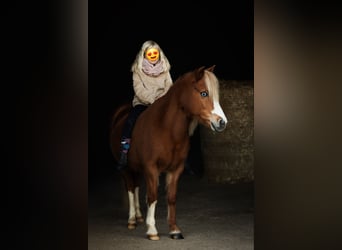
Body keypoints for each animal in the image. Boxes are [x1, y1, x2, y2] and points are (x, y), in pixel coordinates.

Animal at [109, 65, 227, 240]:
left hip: (136, 167)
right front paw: (152, 230)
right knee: (130, 188)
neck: (166, 129)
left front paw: (174, 230)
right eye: (204, 93)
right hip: (125, 168)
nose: (222, 123)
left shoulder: (175, 169)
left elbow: (171, 197)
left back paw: (138, 216)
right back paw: (132, 220)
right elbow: (152, 197)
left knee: (135, 187)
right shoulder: (151, 168)